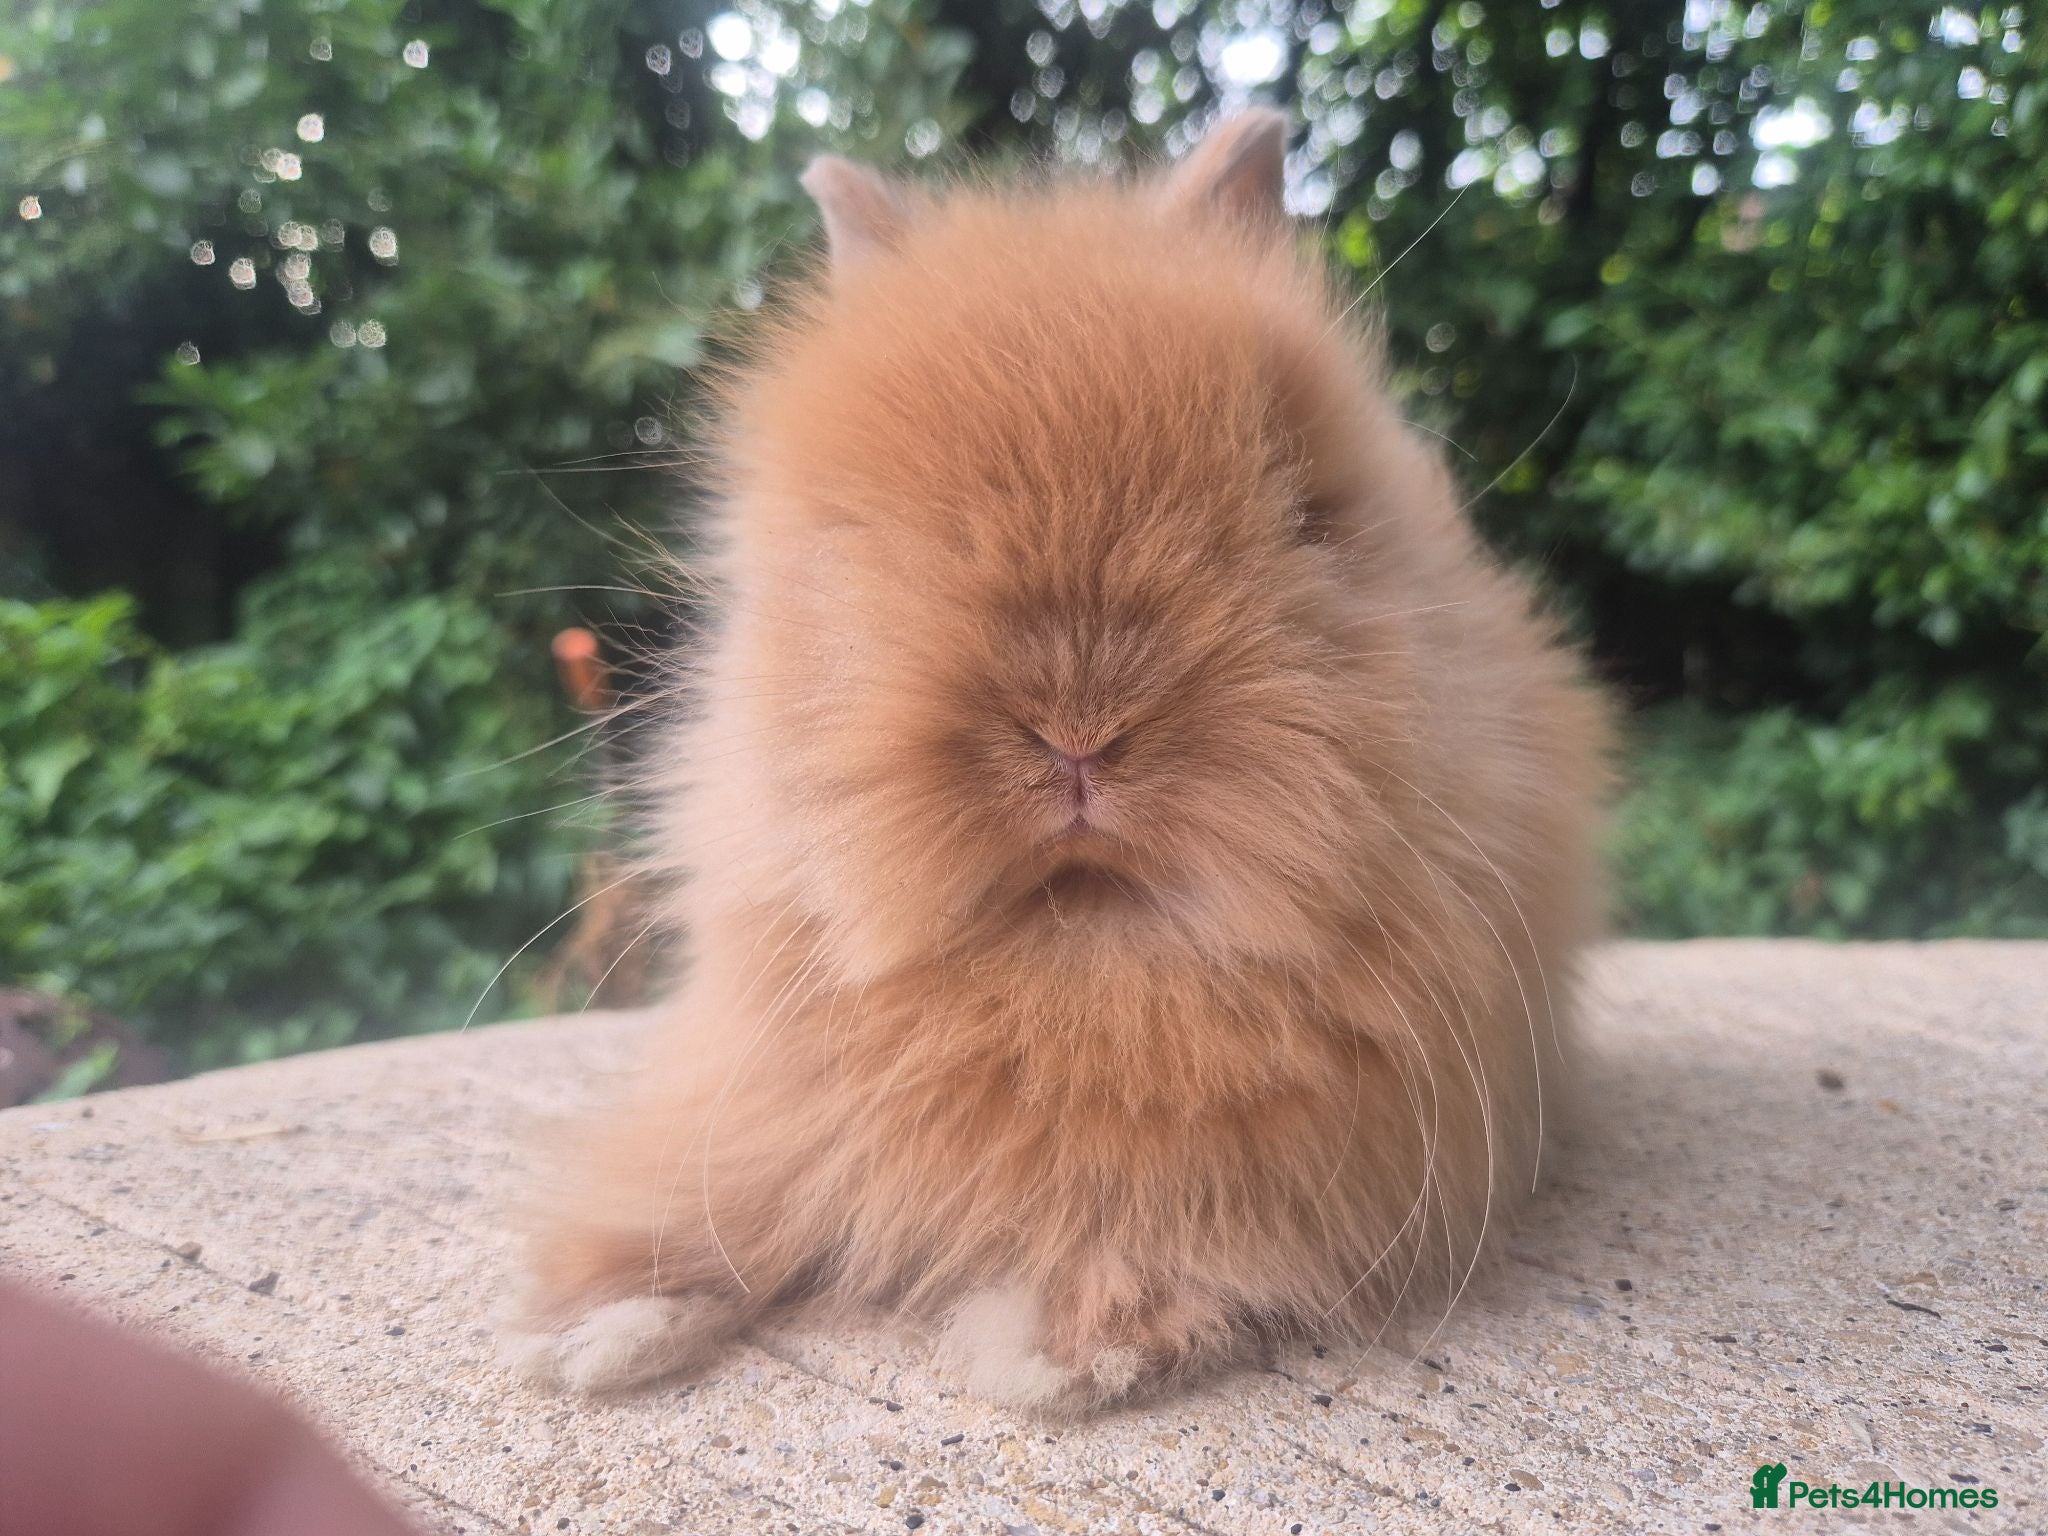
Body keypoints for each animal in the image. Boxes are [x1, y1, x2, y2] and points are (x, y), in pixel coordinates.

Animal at [502, 109, 1609, 1415]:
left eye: (1309, 507)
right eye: (855, 533)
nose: (1076, 728)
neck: (1078, 946)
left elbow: (1154, 1235)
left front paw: (1050, 1353)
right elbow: (716, 1195)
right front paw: (589, 1331)